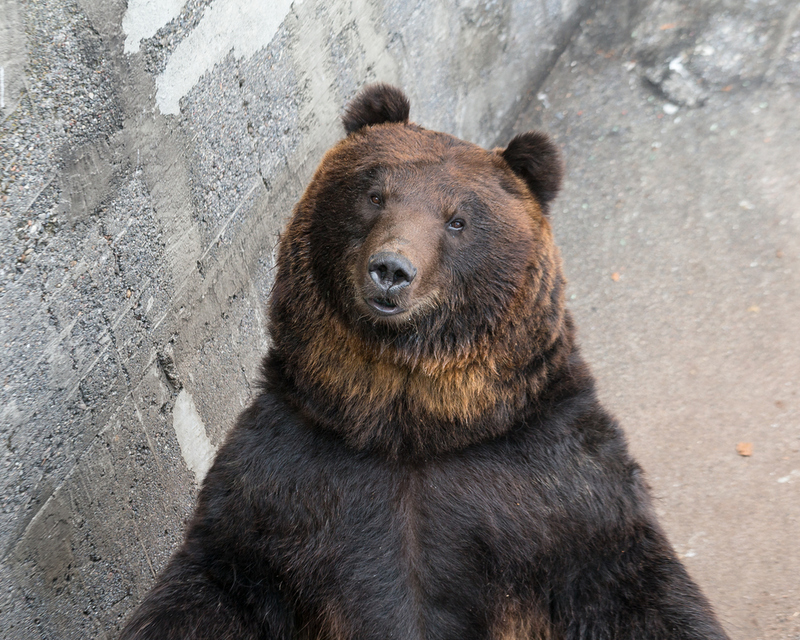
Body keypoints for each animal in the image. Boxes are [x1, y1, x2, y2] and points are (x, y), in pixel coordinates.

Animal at [120, 85, 732, 640]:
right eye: (375, 194)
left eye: (457, 220)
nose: (391, 269)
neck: (413, 426)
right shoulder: (286, 478)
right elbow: (214, 587)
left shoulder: (554, 485)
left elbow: (633, 587)